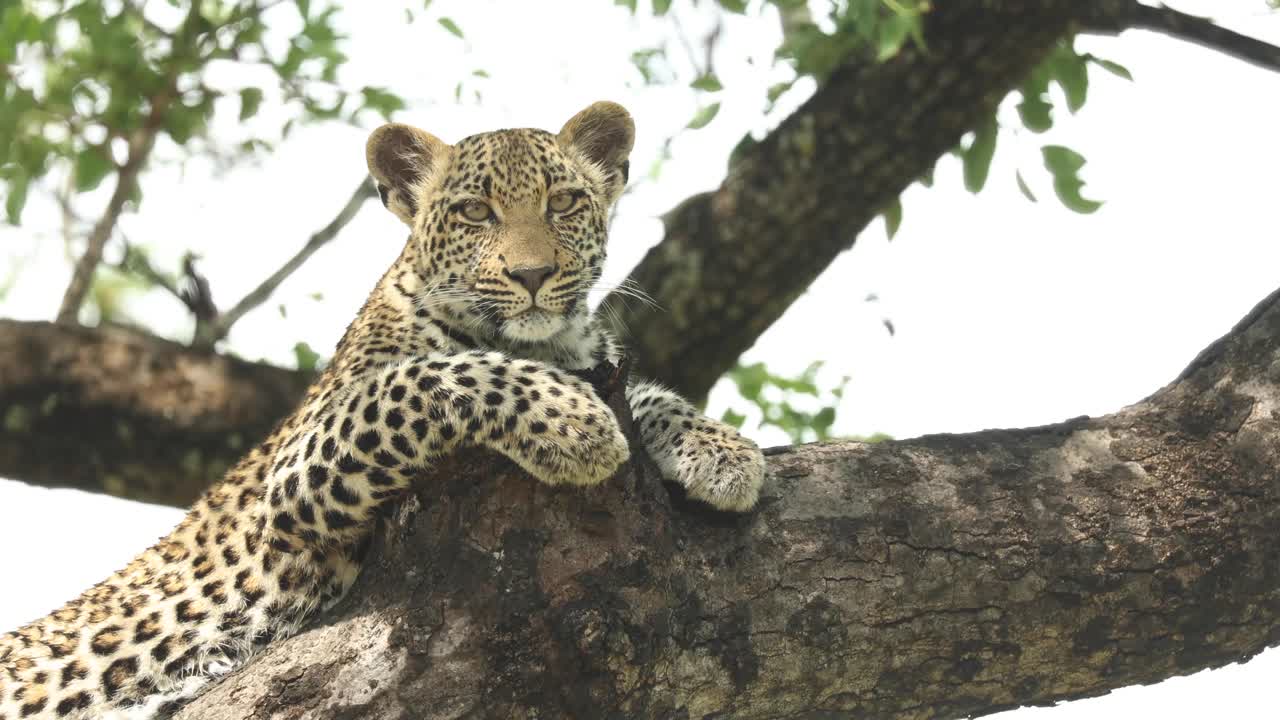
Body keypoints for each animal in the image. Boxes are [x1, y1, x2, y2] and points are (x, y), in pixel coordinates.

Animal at [0, 101, 765, 719]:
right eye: (476, 212)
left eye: (564, 203)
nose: (533, 275)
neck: (547, 344)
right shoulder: (302, 462)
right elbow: (438, 374)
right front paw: (571, 423)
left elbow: (647, 393)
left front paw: (724, 453)